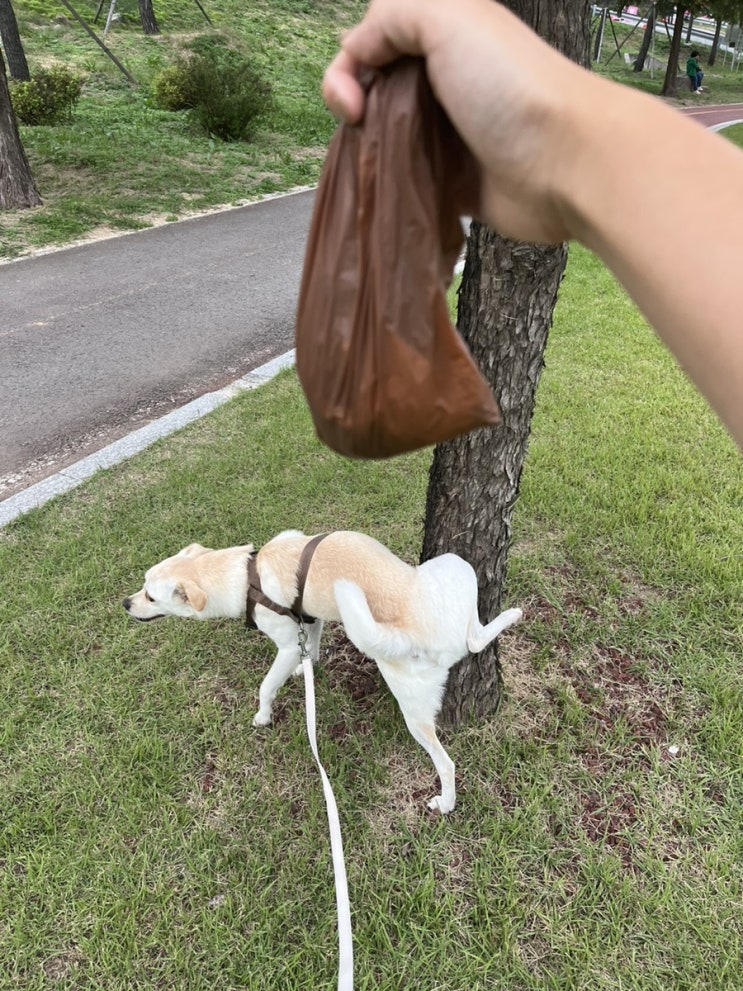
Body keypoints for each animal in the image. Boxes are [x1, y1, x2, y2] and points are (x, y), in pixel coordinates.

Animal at [123, 530, 522, 813]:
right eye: (143, 585)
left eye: (151, 597)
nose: (126, 603)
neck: (246, 574)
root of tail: (441, 636)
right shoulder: (308, 619)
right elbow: (310, 646)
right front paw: (307, 668)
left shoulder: (285, 645)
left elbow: (266, 685)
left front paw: (263, 715)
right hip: (456, 570)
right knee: (476, 638)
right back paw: (510, 615)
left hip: (410, 701)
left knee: (447, 763)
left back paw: (446, 803)